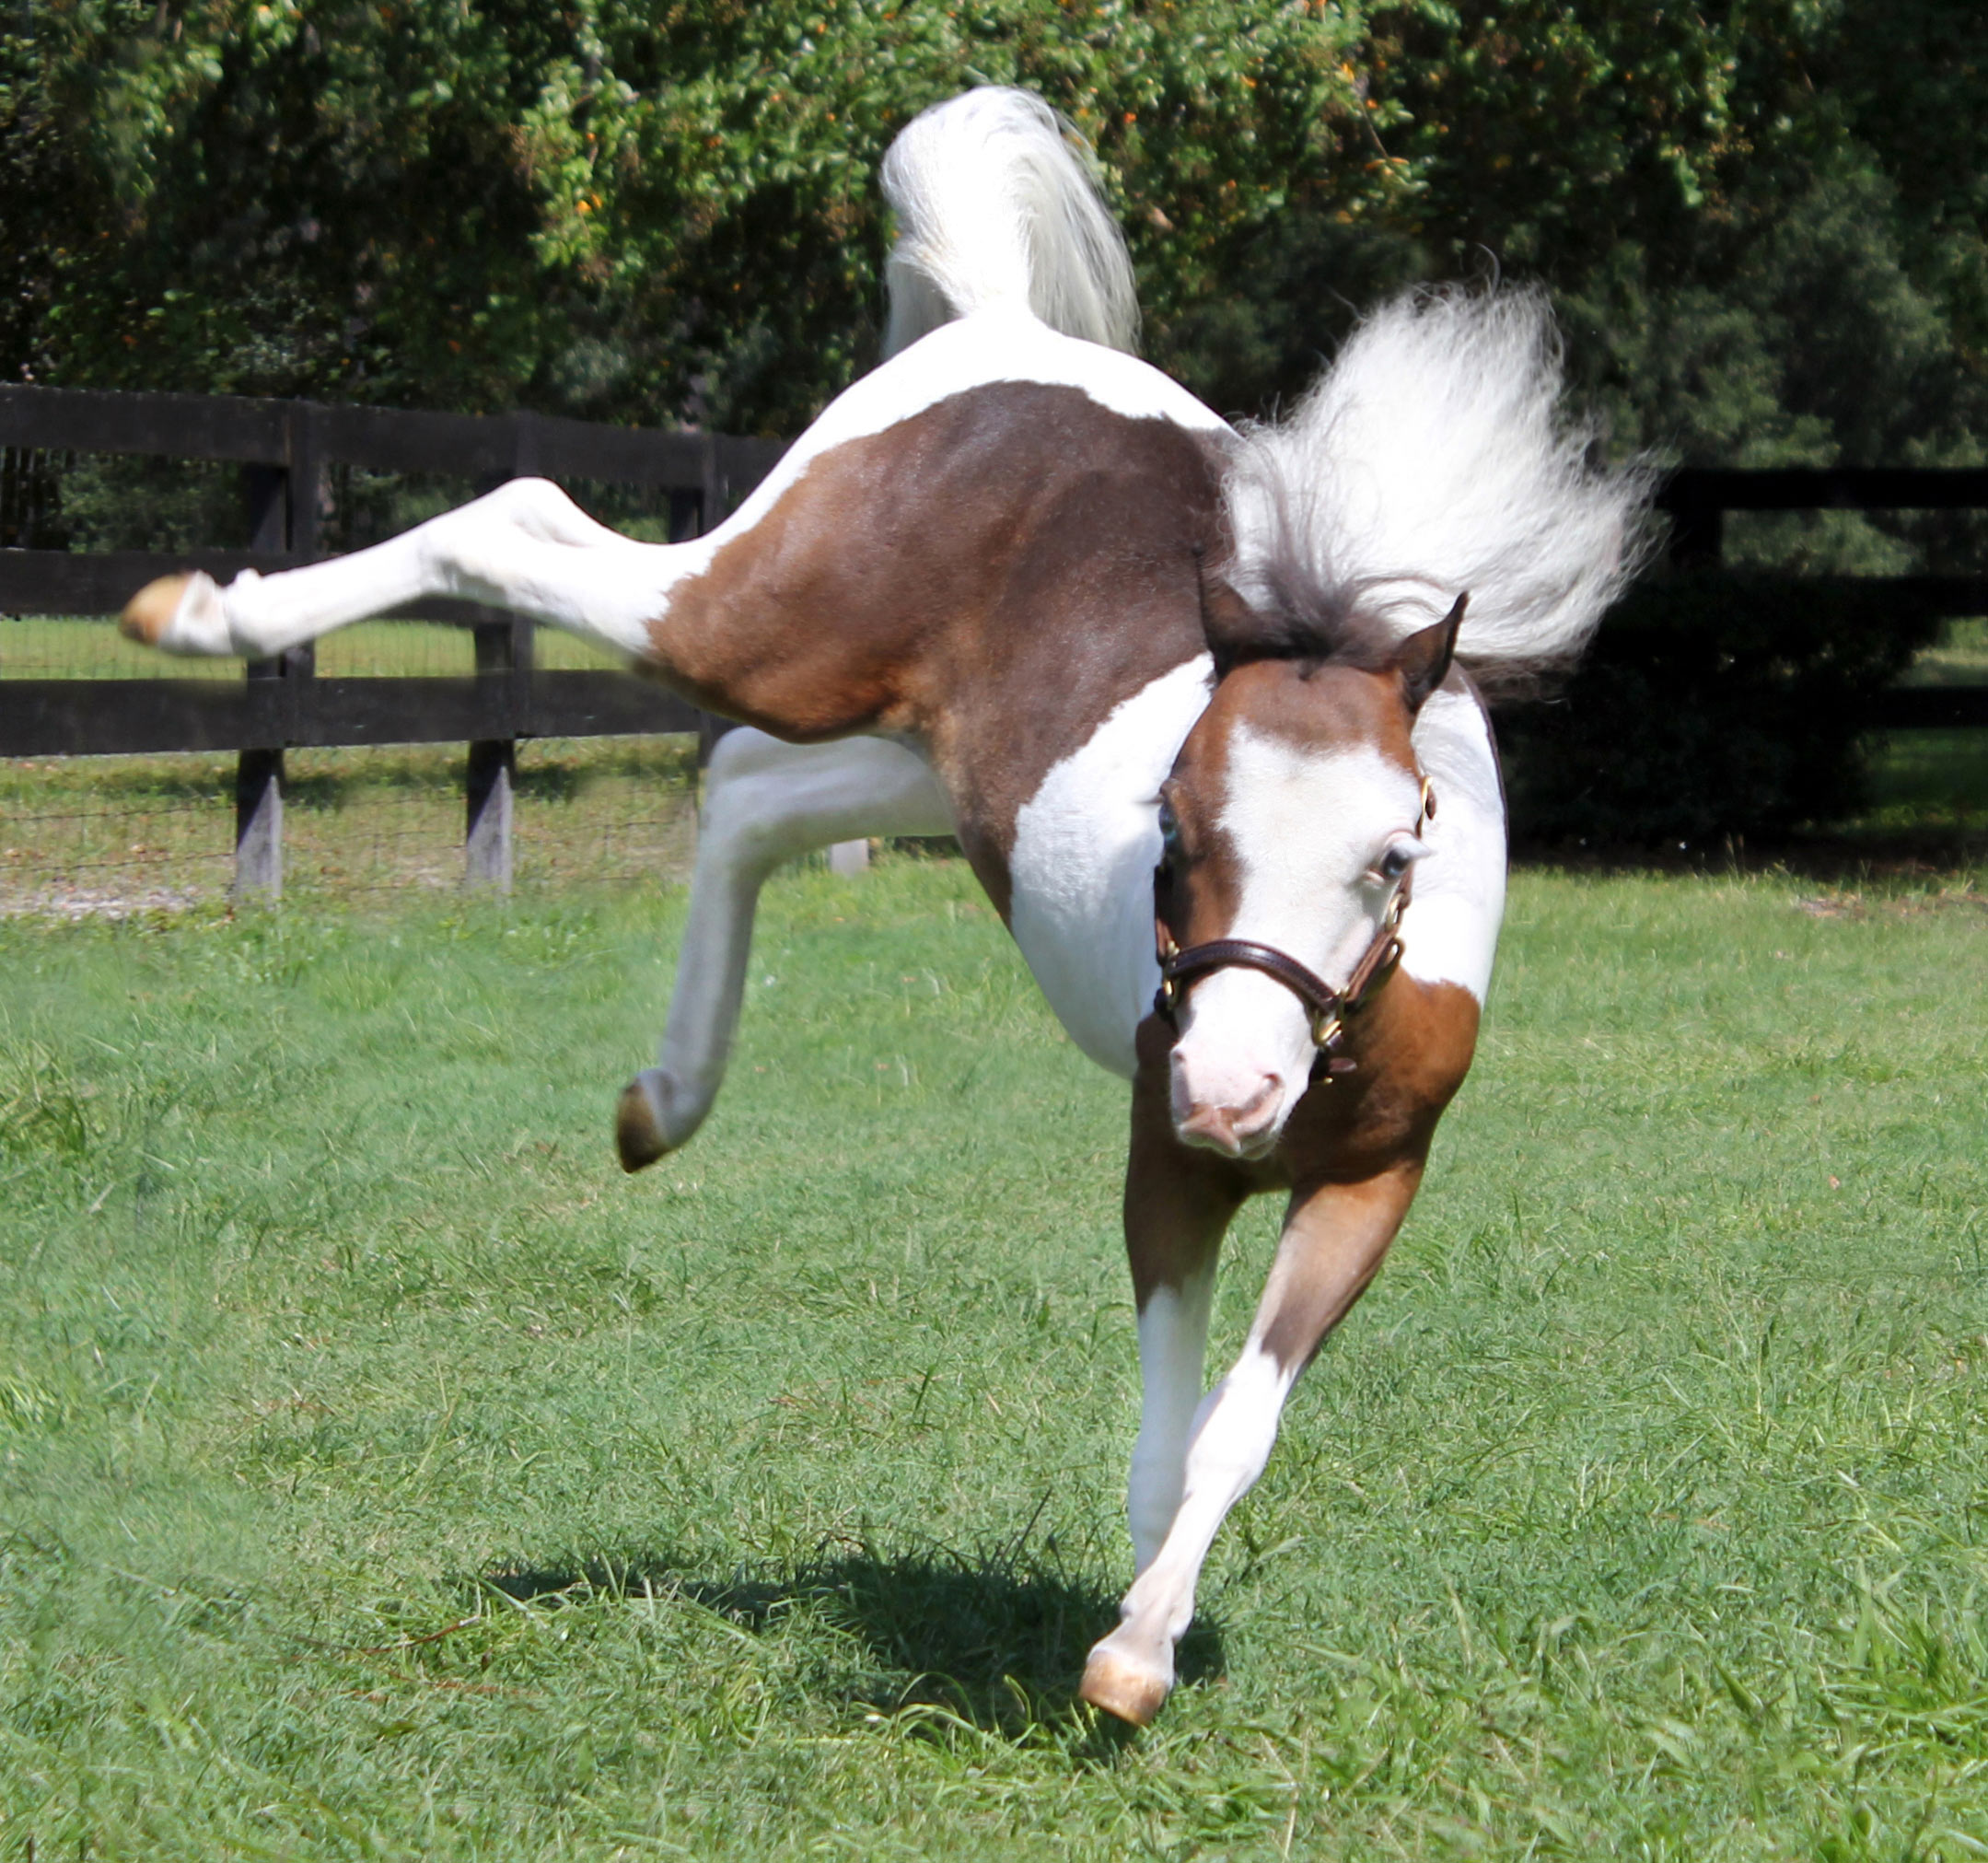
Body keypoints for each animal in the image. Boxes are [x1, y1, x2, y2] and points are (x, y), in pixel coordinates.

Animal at [123, 83, 1645, 1717]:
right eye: (1169, 825)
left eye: (1392, 853)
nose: (1231, 1092)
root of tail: (992, 328)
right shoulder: (1161, 1160)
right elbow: (1171, 1418)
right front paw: (1129, 1623)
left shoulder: (1368, 1182)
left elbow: (1234, 1425)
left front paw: (1141, 1639)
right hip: (767, 625)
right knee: (523, 524)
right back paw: (199, 611)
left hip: (914, 759)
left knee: (744, 792)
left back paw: (662, 1101)